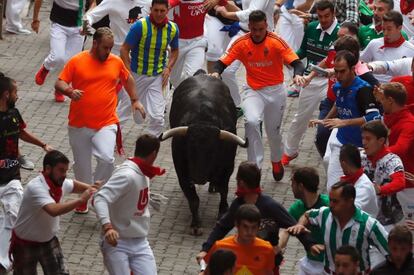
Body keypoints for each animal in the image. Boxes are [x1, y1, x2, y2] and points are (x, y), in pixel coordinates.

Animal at [160, 74, 247, 236]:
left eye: (213, 151)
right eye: (189, 148)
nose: (198, 178)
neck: (203, 119)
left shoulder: (227, 167)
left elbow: (224, 189)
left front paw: (222, 212)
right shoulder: (181, 171)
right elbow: (193, 199)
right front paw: (196, 224)